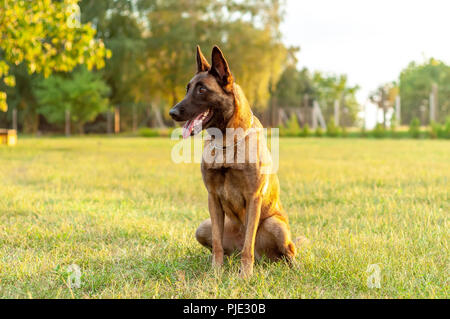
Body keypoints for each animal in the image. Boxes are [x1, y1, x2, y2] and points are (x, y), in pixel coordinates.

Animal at [169, 45, 296, 278]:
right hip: (203, 227)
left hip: (275, 225)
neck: (227, 143)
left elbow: (248, 245)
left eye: (202, 90)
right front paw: (216, 271)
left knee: (287, 250)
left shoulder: (253, 198)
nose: (172, 113)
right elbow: (218, 244)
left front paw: (245, 275)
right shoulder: (213, 198)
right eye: (187, 88)